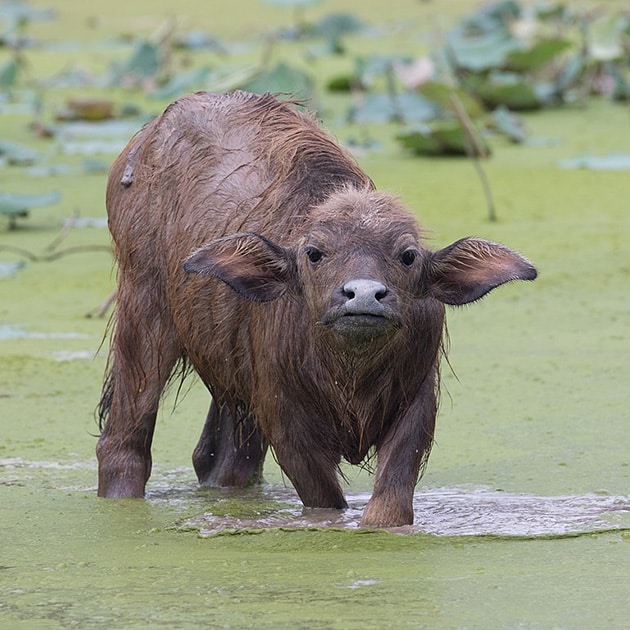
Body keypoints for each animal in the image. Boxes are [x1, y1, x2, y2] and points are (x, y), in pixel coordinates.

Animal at [95, 91, 540, 532]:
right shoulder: (285, 419)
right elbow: (325, 499)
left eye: (408, 255)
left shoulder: (416, 403)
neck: (350, 375)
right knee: (123, 441)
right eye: (314, 253)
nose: (363, 295)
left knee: (223, 459)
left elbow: (391, 501)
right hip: (143, 307)